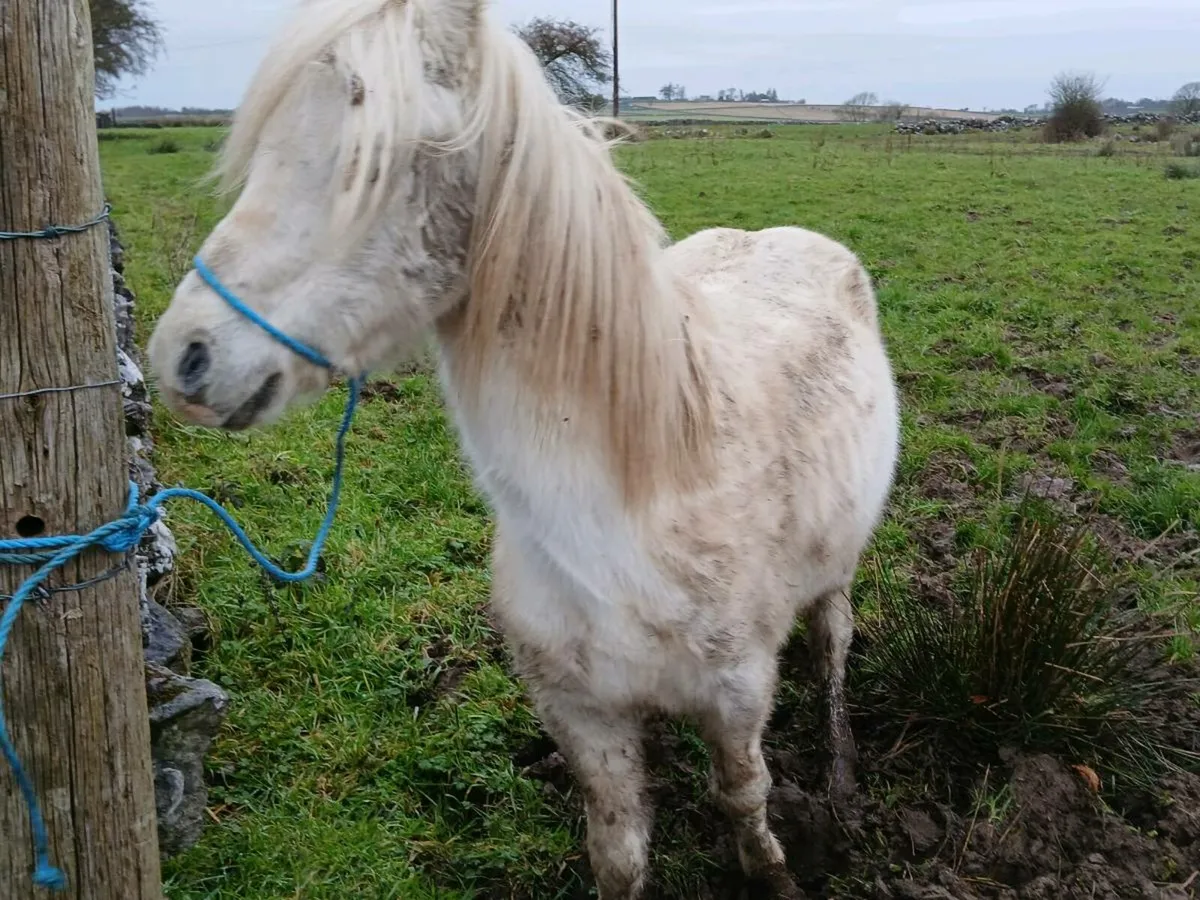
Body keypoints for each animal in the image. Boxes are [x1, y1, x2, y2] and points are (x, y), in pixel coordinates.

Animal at [146, 0, 900, 895]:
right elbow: (618, 851)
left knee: (832, 644)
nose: (185, 358)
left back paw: (841, 772)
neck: (634, 508)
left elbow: (745, 795)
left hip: (835, 573)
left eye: (380, 160)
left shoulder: (740, 692)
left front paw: (776, 872)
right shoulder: (579, 712)